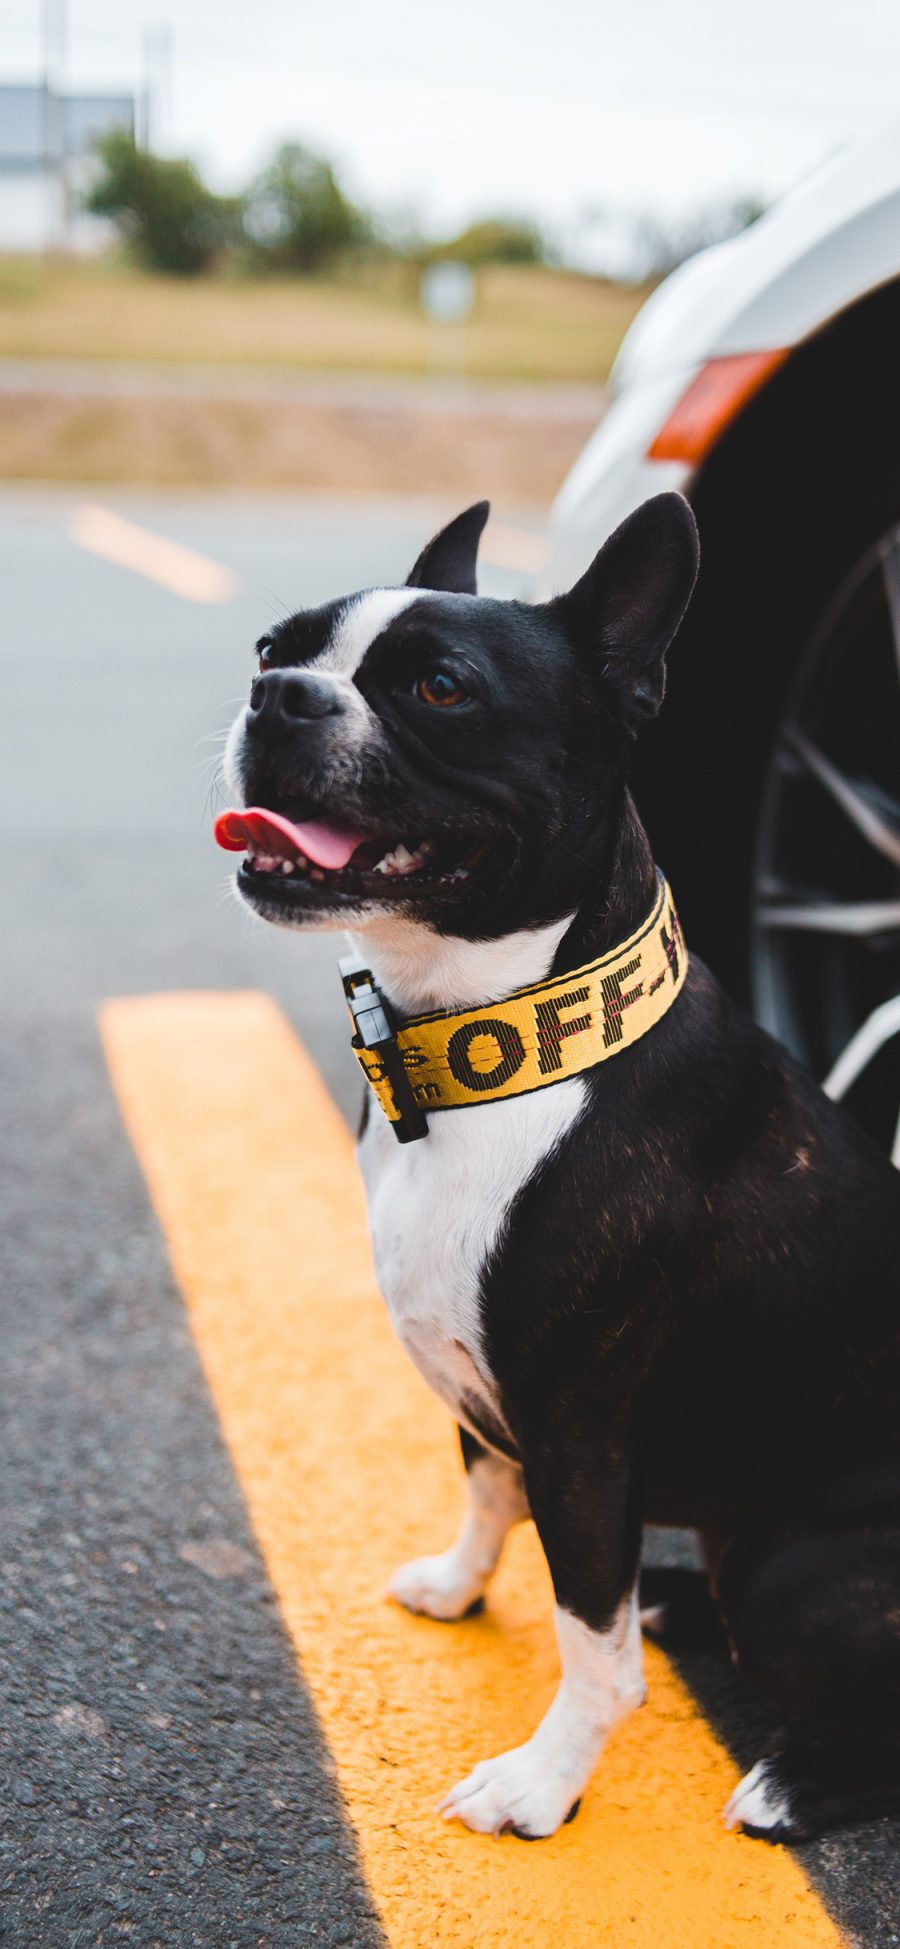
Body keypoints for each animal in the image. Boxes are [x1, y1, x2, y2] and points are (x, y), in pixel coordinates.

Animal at [218, 498, 900, 1839]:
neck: (496, 1042)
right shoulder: (493, 1396)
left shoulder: (579, 1430)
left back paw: (793, 1780)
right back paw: (675, 1599)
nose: (279, 696)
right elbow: (487, 1486)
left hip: (795, 1567)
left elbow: (589, 1640)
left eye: (440, 687)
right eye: (274, 646)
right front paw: (457, 1583)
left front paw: (543, 1780)